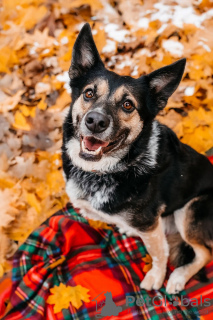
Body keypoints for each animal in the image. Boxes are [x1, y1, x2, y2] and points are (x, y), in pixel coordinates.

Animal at [61, 23, 213, 296]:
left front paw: (156, 277)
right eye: (88, 93)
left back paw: (178, 277)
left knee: (204, 252)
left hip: (190, 209)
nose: (95, 121)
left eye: (128, 105)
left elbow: (159, 253)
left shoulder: (150, 225)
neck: (105, 171)